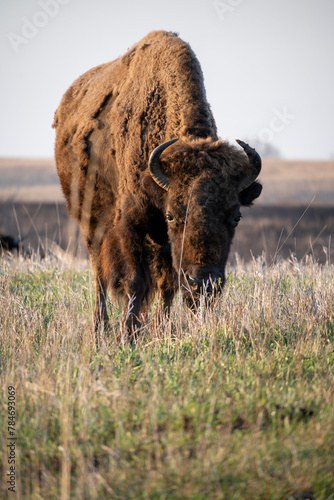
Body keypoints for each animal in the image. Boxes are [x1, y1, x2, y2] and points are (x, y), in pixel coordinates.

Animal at [52, 29, 260, 342]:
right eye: (171, 215)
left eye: (236, 217)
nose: (202, 284)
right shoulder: (130, 225)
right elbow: (134, 282)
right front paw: (129, 335)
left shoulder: (164, 244)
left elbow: (166, 285)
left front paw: (162, 330)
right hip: (89, 222)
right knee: (99, 274)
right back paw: (101, 329)